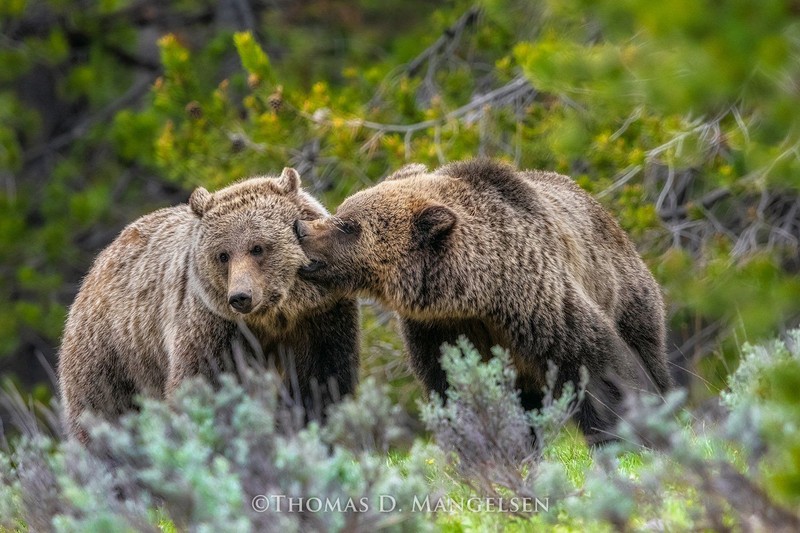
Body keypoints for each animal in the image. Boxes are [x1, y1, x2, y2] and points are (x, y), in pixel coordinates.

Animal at [61, 167, 360, 440]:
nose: (240, 297)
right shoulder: (214, 325)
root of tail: (96, 266)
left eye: (258, 247)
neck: (275, 316)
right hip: (113, 351)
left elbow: (321, 381)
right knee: (104, 408)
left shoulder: (319, 318)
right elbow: (204, 385)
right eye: (223, 255)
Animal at [296, 160, 672, 442]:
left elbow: (598, 369)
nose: (301, 228)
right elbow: (453, 385)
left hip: (625, 293)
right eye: (342, 209)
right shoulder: (441, 329)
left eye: (348, 225)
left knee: (647, 348)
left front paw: (627, 432)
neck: (480, 295)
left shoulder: (543, 306)